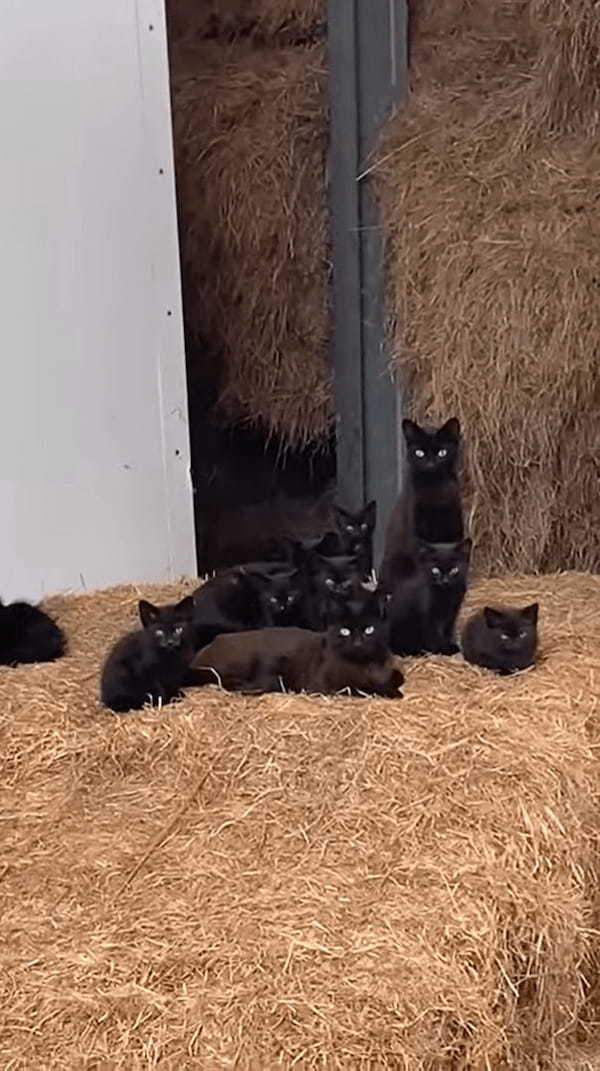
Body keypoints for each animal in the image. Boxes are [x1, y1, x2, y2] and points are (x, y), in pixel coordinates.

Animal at [191, 582, 402, 698]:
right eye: (345, 631)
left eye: (369, 629)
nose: (358, 642)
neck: (363, 665)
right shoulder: (322, 686)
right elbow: (357, 688)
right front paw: (392, 692)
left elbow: (397, 676)